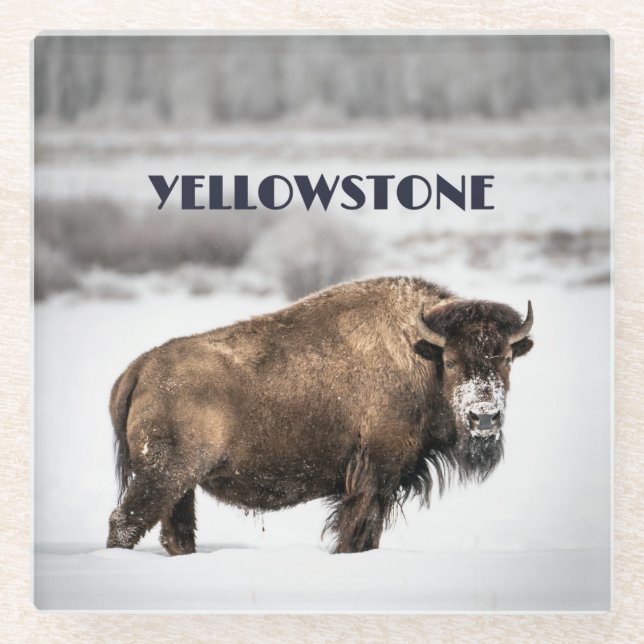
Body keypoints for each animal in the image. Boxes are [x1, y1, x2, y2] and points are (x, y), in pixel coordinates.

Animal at [106, 276, 533, 555]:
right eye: (452, 360)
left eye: (506, 359)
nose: (484, 418)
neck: (420, 355)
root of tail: (139, 368)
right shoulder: (374, 476)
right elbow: (358, 534)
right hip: (162, 477)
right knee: (124, 523)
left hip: (181, 486)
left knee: (175, 533)